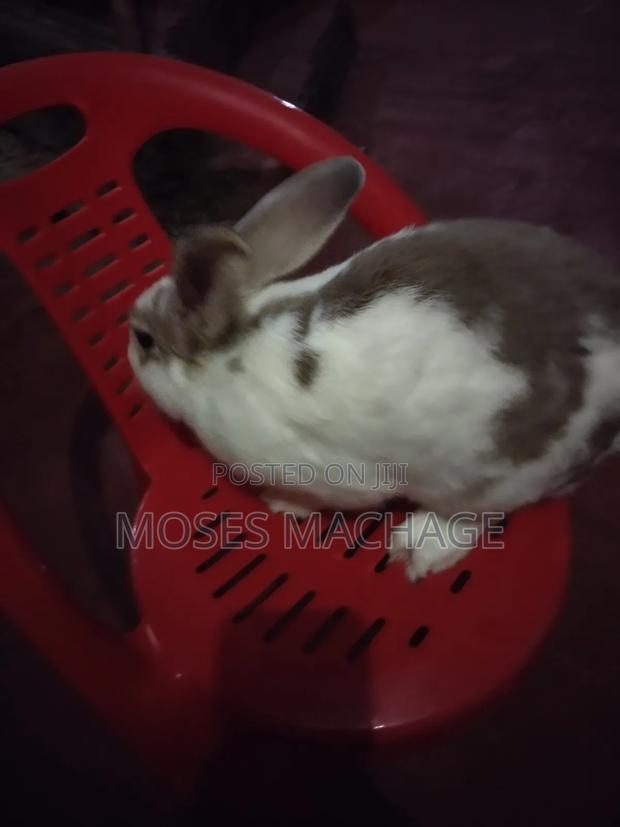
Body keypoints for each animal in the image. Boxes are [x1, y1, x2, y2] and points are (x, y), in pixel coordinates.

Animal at [128, 156, 620, 581]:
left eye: (144, 339)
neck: (230, 348)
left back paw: (419, 548)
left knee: (477, 516)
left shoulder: (322, 474)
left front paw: (281, 505)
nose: (129, 349)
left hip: (492, 477)